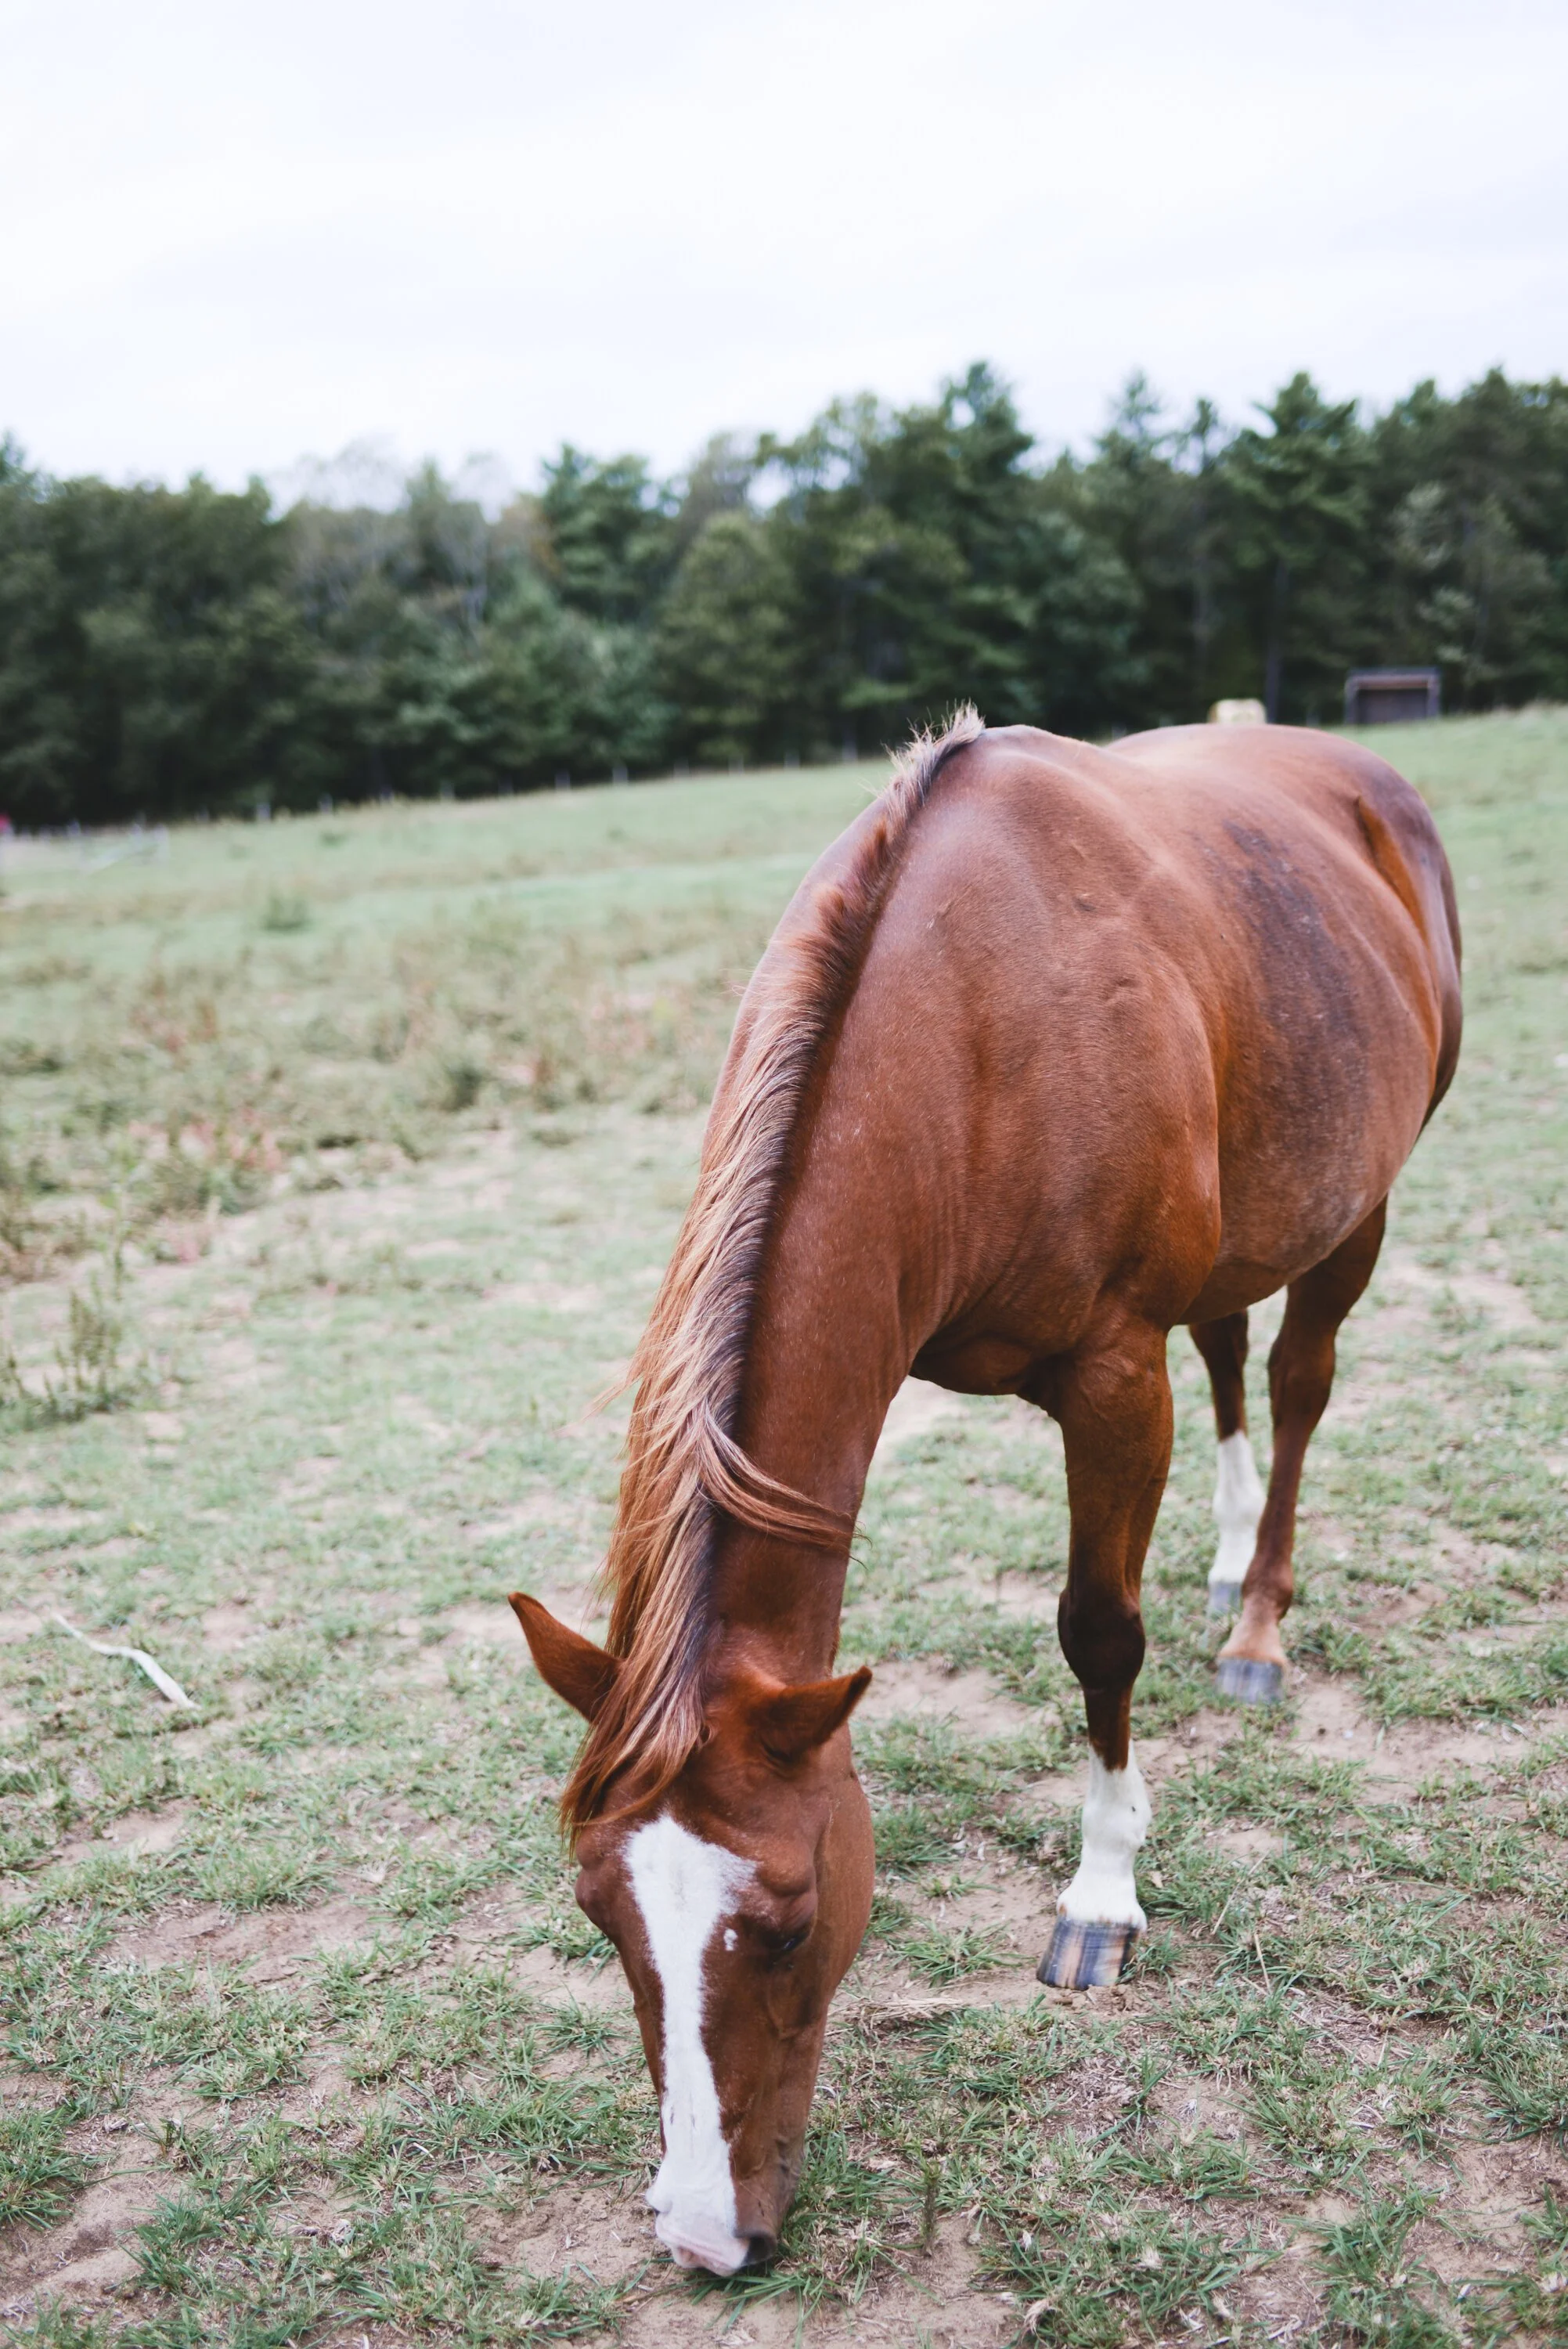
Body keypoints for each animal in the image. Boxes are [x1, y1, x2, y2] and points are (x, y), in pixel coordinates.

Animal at [510, 712, 1462, 2275]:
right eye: (601, 1917)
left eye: (787, 1924)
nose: (707, 2238)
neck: (971, 1031)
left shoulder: (1113, 1374)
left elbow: (1098, 1634)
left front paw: (1101, 1893)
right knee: (1233, 1353)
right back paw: (1223, 1564)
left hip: (1354, 1205)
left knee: (1298, 1380)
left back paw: (1256, 1621)